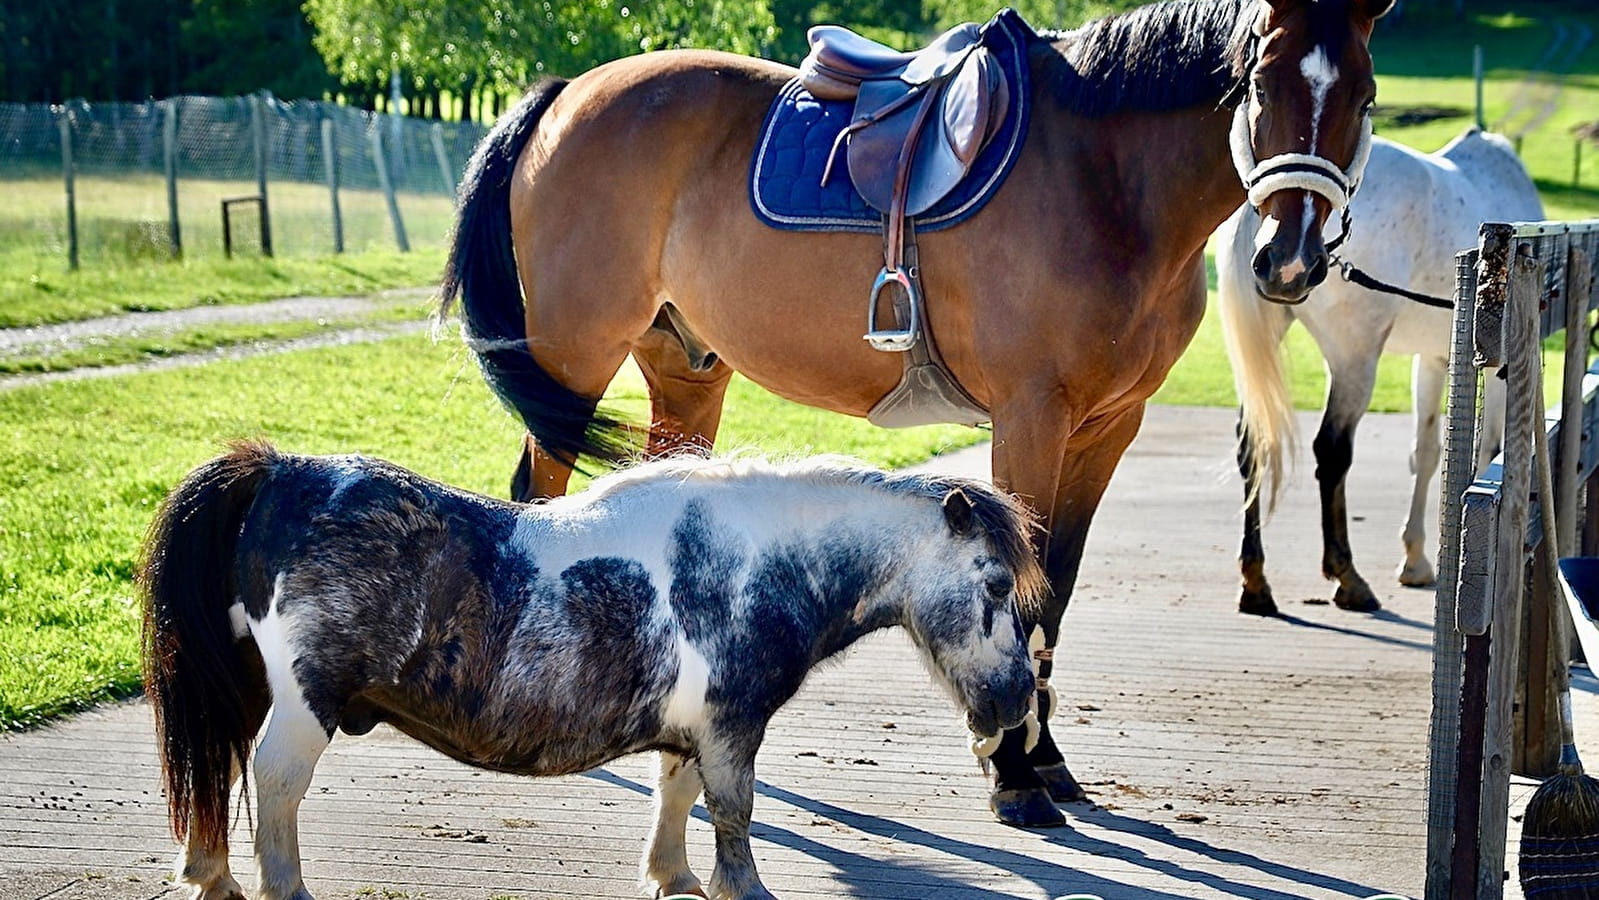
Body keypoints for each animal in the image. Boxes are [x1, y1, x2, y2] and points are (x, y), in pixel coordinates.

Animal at [438, 0, 1387, 824]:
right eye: (1260, 83)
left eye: (1362, 96)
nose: (1289, 258)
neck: (1104, 180)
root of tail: (569, 90)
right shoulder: (1032, 418)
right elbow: (1022, 584)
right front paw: (1012, 772)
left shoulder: (1109, 428)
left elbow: (1057, 588)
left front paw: (1044, 757)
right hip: (574, 355)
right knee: (537, 493)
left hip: (684, 368)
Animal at [1215, 128, 1541, 620]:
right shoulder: (1493, 369)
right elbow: (1486, 451)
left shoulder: (1434, 358)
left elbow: (1426, 452)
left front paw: (1416, 558)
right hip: (1355, 359)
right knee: (1332, 452)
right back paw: (1347, 577)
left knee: (1253, 442)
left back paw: (1255, 582)